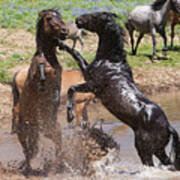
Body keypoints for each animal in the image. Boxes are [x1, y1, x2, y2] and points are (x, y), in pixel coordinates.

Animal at [58, 11, 180, 169]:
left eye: (95, 16)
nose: (78, 19)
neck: (111, 61)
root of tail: (168, 126)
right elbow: (76, 55)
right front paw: (61, 44)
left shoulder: (92, 84)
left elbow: (71, 87)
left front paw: (69, 115)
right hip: (158, 150)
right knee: (168, 163)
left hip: (144, 148)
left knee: (150, 164)